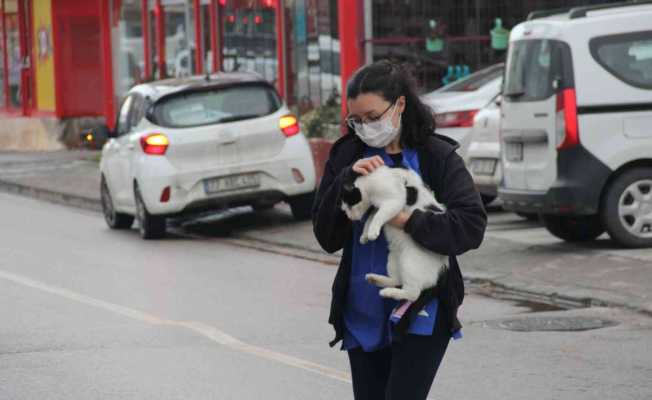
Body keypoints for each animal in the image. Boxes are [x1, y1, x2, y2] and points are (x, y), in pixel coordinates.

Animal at [342, 164, 448, 302]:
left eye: (349, 207)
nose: (349, 217)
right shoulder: (376, 208)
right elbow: (370, 219)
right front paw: (365, 235)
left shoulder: (393, 202)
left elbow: (378, 216)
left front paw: (372, 232)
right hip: (394, 257)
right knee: (397, 281)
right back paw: (376, 280)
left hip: (410, 262)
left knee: (412, 294)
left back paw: (389, 292)